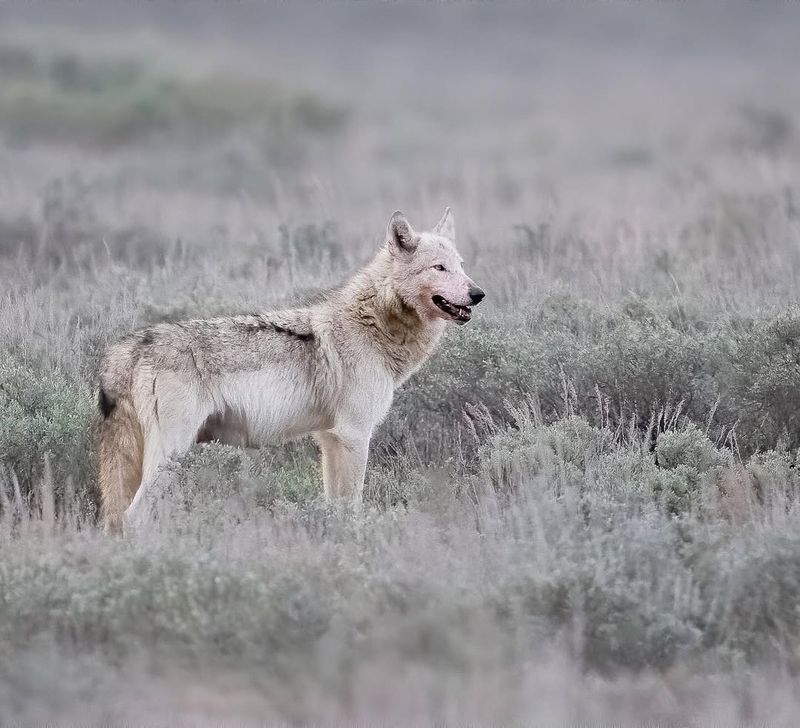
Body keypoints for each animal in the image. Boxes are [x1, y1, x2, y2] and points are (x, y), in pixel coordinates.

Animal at [98, 208, 488, 532]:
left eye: (461, 265)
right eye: (439, 268)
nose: (478, 293)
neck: (373, 324)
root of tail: (131, 346)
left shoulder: (330, 439)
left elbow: (335, 506)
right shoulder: (354, 435)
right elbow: (352, 506)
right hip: (171, 454)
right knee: (134, 516)